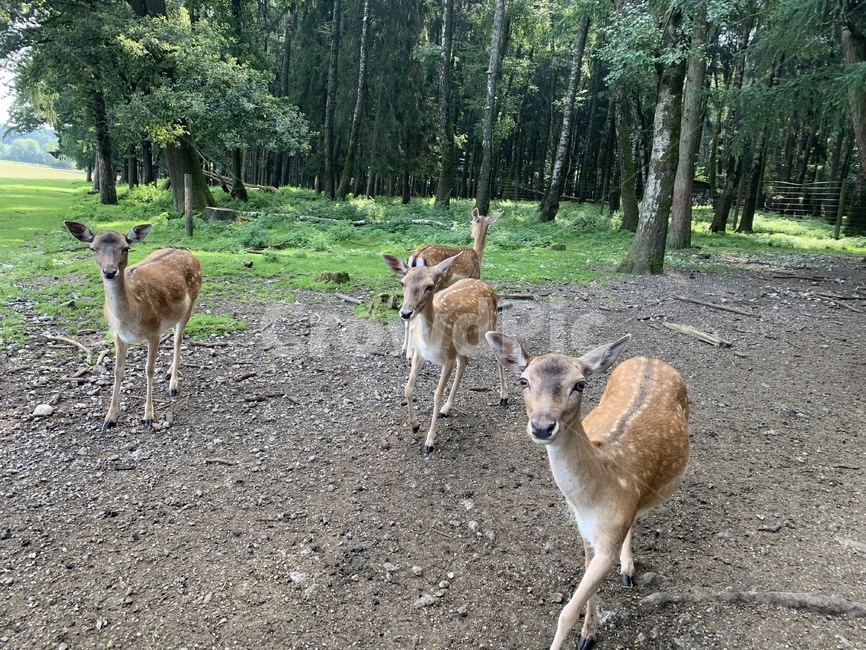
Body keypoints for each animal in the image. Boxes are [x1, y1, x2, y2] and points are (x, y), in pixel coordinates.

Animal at [64, 221, 203, 430]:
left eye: (125, 248)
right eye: (92, 248)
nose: (110, 272)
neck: (128, 317)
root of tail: (190, 254)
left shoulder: (154, 331)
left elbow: (149, 370)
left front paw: (148, 416)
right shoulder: (117, 335)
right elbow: (117, 371)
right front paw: (109, 418)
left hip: (191, 304)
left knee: (179, 339)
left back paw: (173, 386)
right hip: (173, 315)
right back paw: (169, 373)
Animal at [382, 253, 508, 454]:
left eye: (430, 286)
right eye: (402, 282)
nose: (405, 313)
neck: (430, 341)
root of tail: (487, 285)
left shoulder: (448, 357)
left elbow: (437, 395)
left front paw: (429, 442)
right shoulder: (420, 354)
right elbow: (408, 388)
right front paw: (415, 425)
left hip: (489, 326)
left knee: (498, 352)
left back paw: (504, 397)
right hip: (462, 343)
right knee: (465, 361)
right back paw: (446, 409)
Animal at [398, 208, 501, 358]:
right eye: (471, 221)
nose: (471, 234)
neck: (477, 255)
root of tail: (416, 256)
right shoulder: (474, 276)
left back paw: (404, 348)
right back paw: (410, 353)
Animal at [485, 332, 690, 650]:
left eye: (580, 384)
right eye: (523, 381)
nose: (542, 426)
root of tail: (651, 359)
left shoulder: (608, 542)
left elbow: (567, 612)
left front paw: (581, 635)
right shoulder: (584, 532)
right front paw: (588, 634)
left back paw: (627, 568)